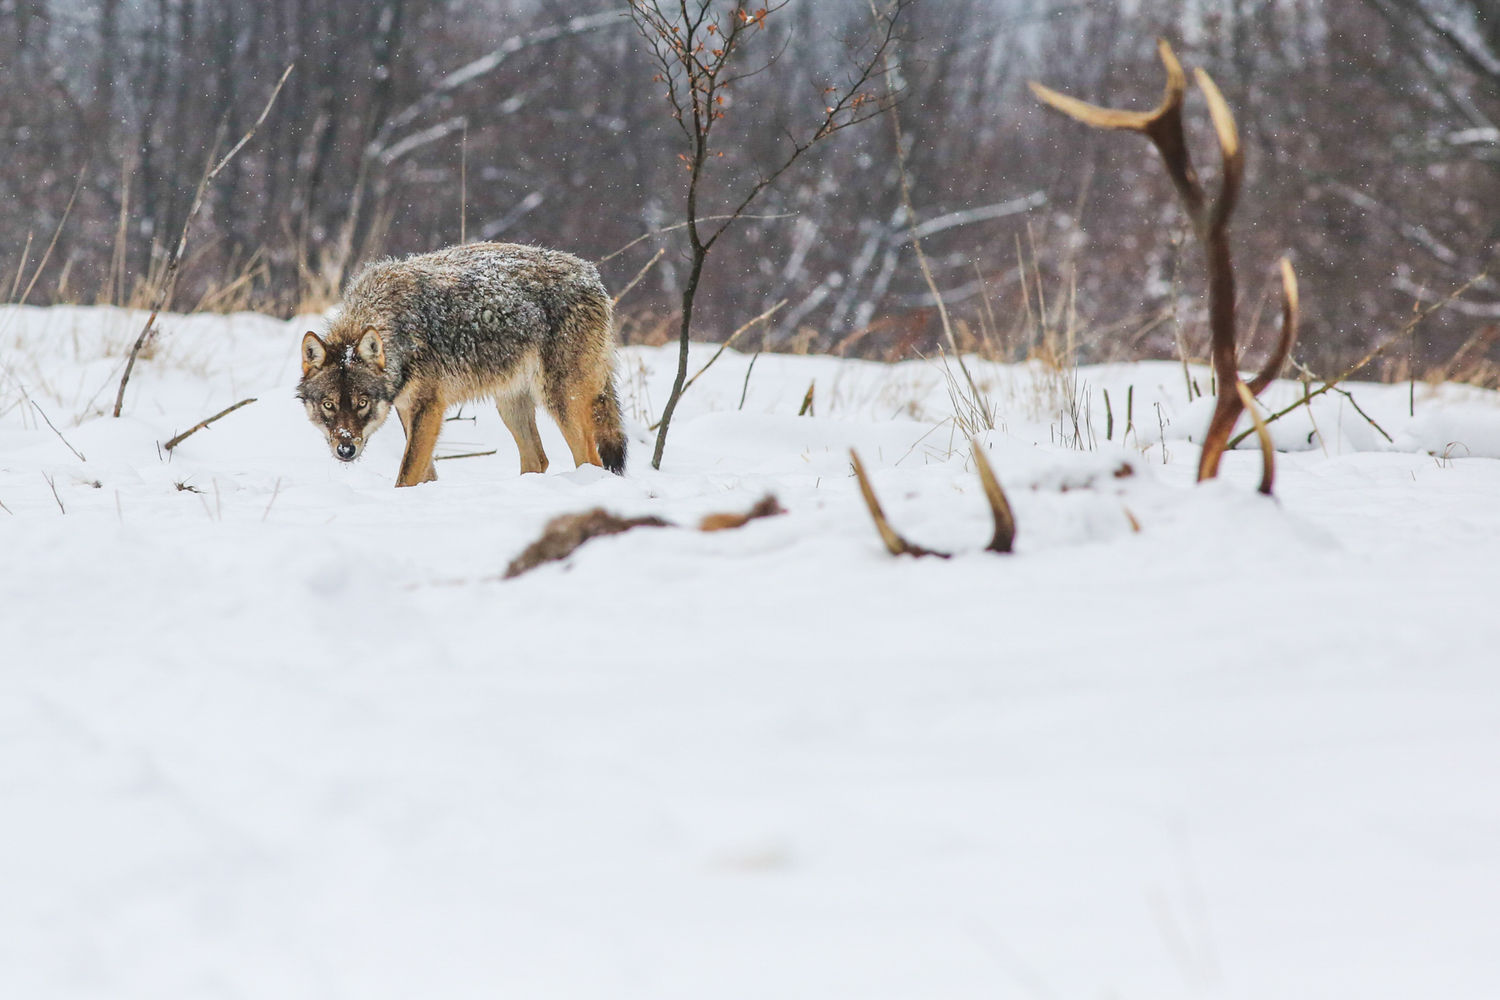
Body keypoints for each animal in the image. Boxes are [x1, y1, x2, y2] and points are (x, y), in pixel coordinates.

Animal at [297, 242, 626, 487]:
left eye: (362, 403)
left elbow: (406, 474)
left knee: (590, 460)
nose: (345, 450)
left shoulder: (429, 407)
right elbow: (424, 472)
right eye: (328, 405)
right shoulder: (407, 408)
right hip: (511, 404)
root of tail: (591, 275)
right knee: (538, 459)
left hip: (559, 401)